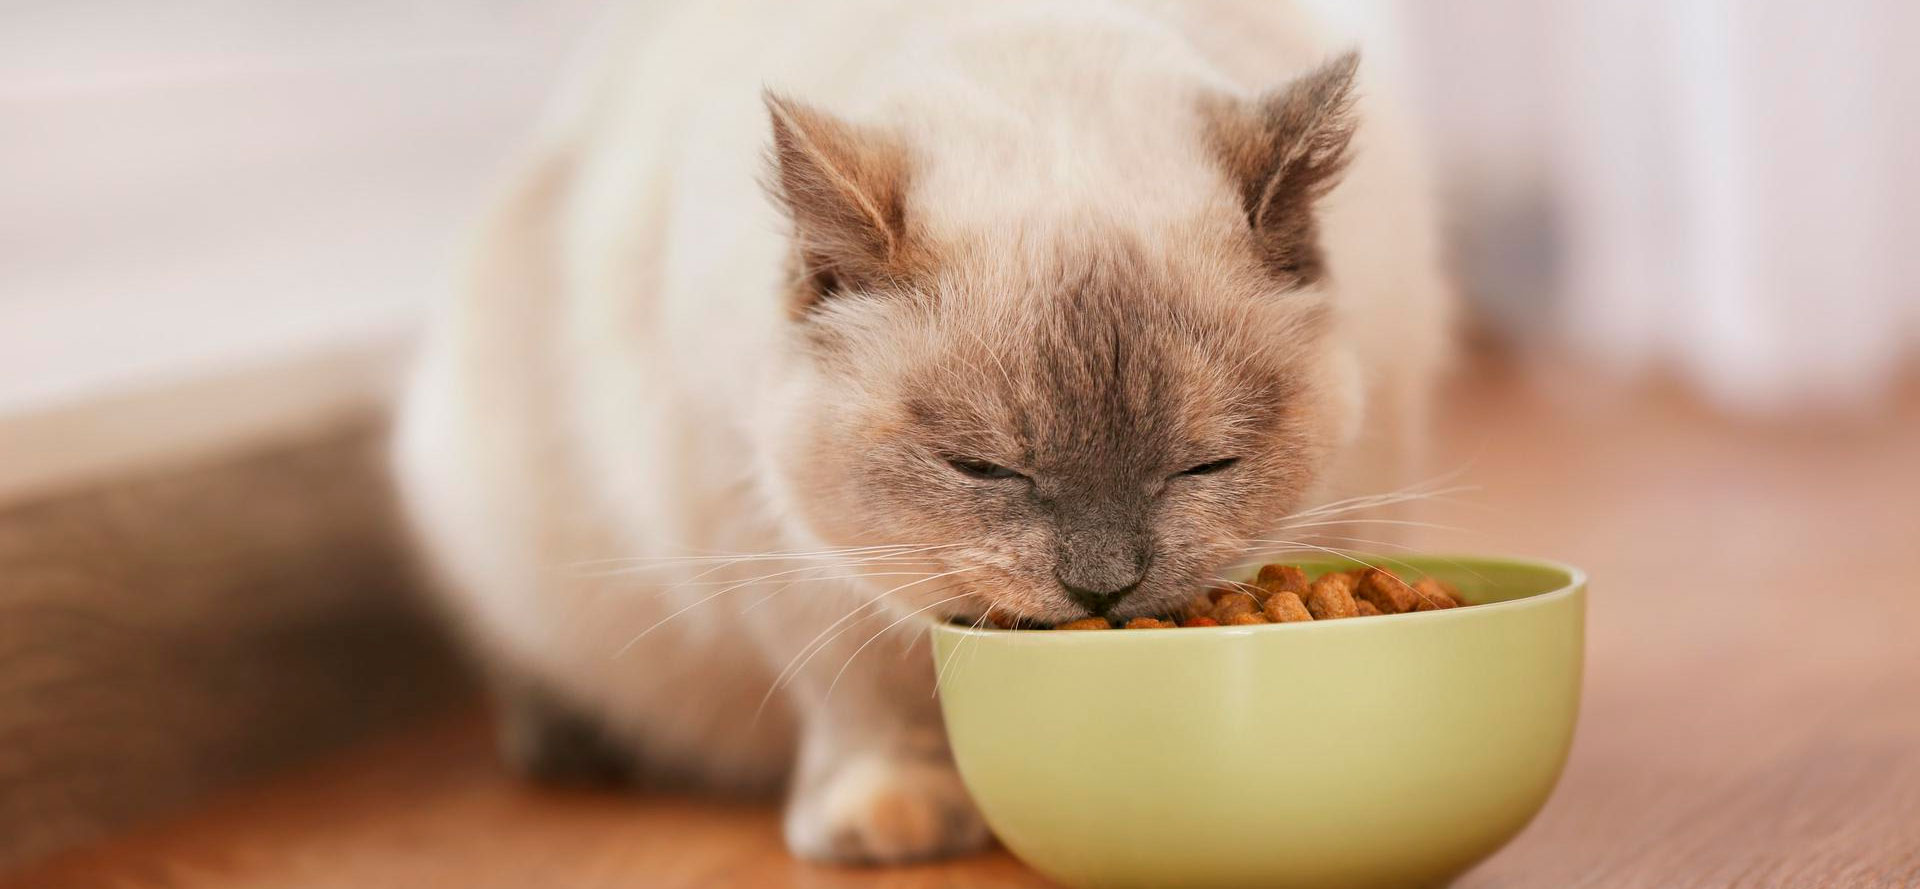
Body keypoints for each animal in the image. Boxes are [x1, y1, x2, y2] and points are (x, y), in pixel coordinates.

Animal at [389, 0, 1443, 867]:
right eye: (982, 468)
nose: (1103, 588)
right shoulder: (776, 551)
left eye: (1204, 464)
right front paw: (897, 818)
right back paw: (565, 741)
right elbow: (863, 697)